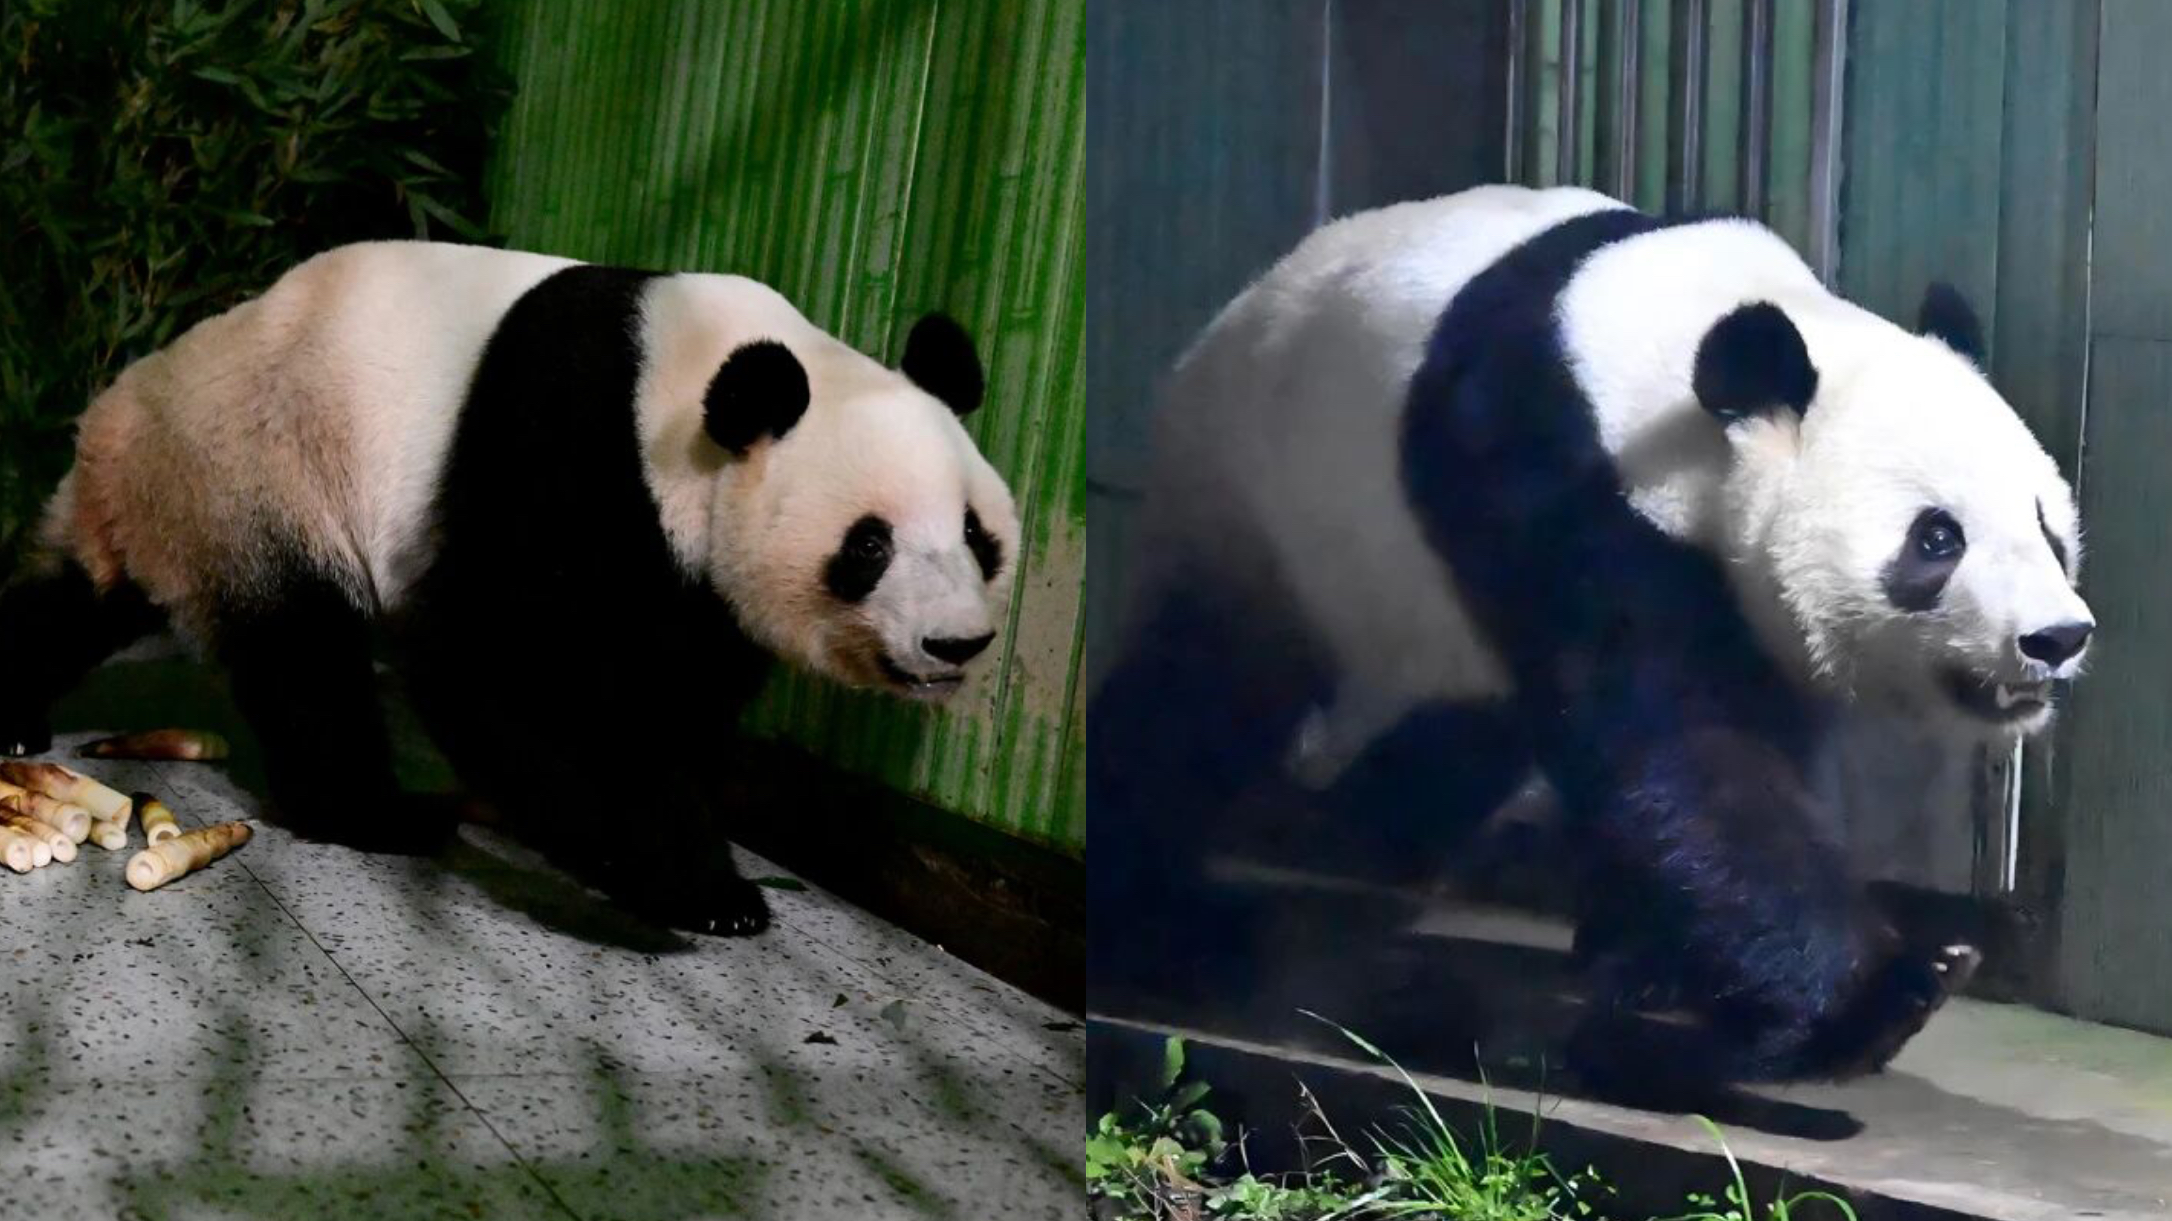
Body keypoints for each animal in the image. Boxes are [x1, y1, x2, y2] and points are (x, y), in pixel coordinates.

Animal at [0, 241, 1020, 935]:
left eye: (979, 534)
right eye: (869, 545)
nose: (956, 643)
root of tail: (116, 421)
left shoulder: (694, 584)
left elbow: (679, 688)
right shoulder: (567, 443)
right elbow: (495, 659)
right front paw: (681, 873)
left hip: (178, 507)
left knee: (76, 604)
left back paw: (16, 718)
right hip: (257, 475)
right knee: (306, 658)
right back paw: (381, 813)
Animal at [1092, 185, 2092, 1088]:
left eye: (2048, 527)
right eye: (1937, 538)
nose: (2056, 637)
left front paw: (1659, 966)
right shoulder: (1543, 469)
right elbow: (1683, 750)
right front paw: (1883, 992)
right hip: (1257, 506)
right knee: (1198, 697)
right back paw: (1163, 908)